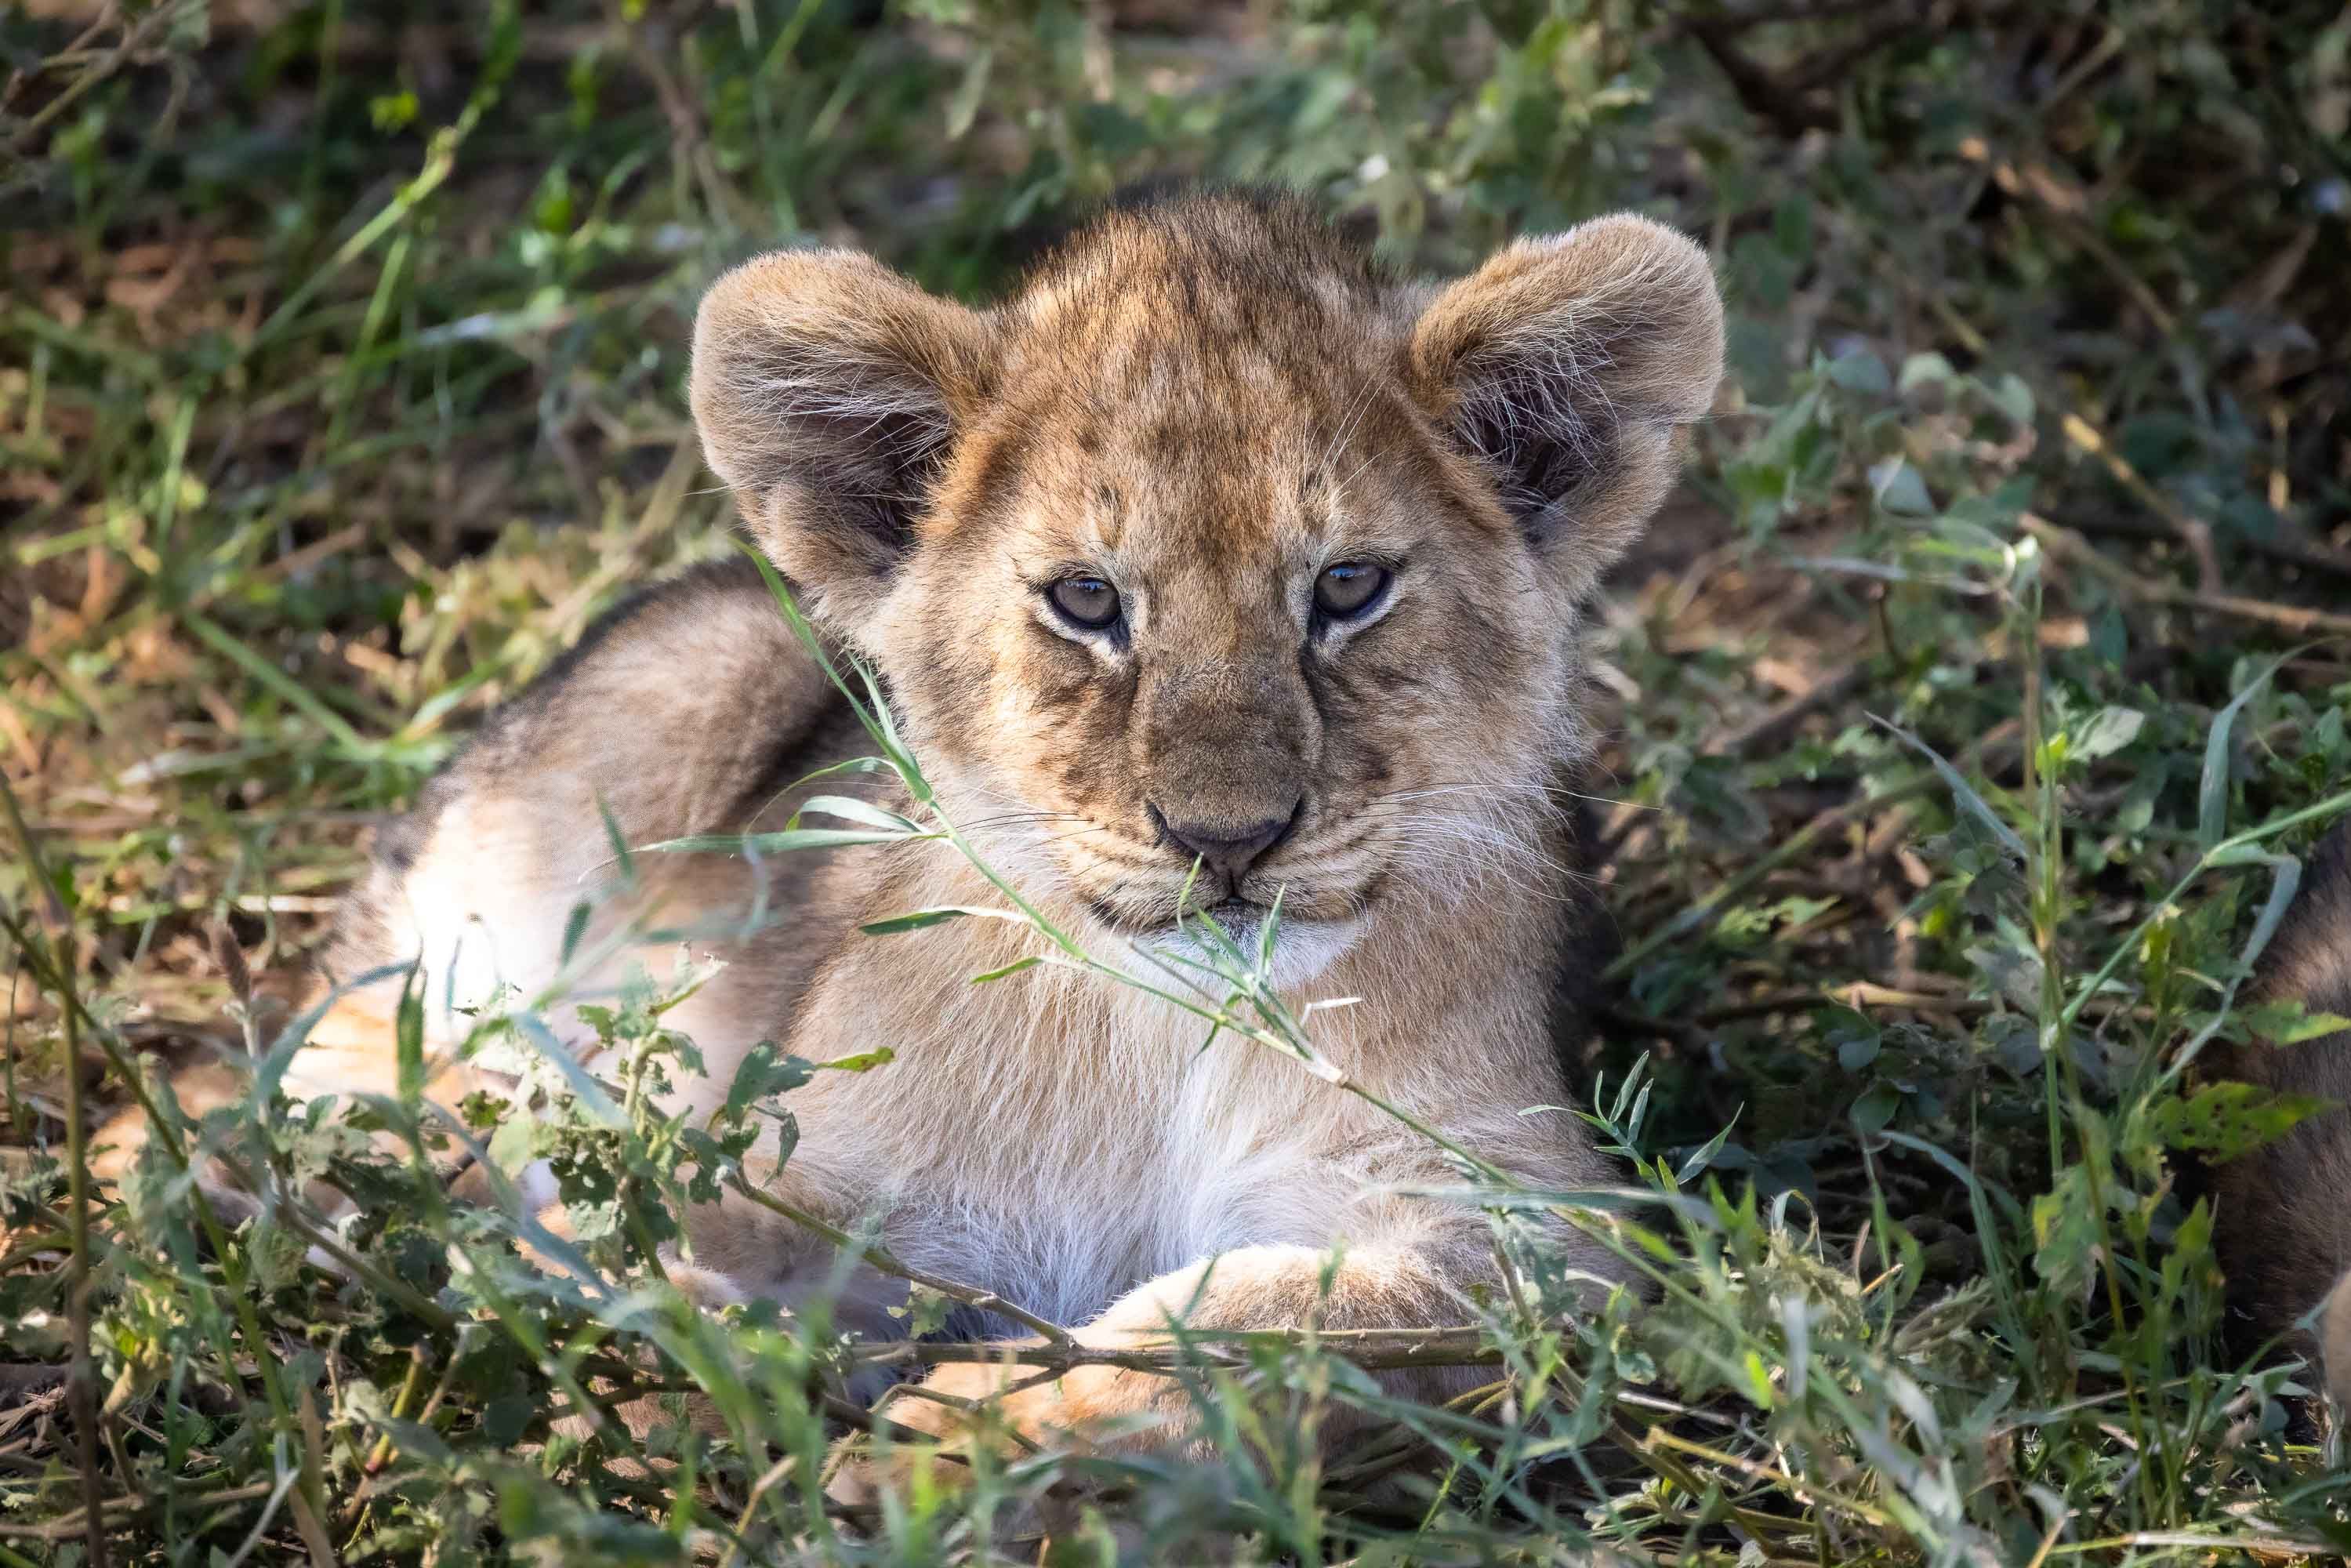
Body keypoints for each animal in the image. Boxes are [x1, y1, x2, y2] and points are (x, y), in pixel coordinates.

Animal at [99, 191, 1727, 1486]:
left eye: (1345, 587)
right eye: (1085, 601)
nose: (1228, 840)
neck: (1165, 1029)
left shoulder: (1535, 1227)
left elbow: (1274, 1329)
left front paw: (967, 1451)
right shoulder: (810, 1174)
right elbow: (695, 1246)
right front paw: (665, 1353)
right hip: (606, 780)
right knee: (327, 1055)